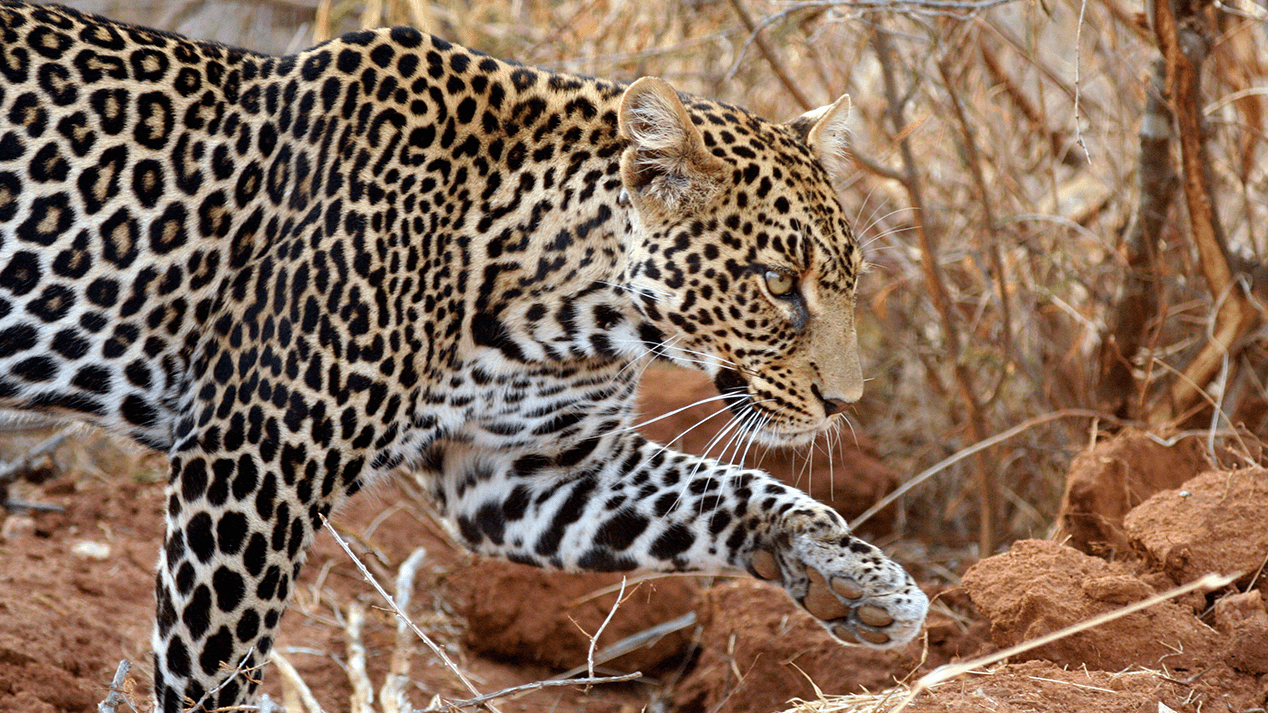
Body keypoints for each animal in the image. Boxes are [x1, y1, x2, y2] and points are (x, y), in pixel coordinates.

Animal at [0, 2, 928, 710]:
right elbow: (211, 664)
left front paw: (856, 575)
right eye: (775, 281)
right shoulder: (253, 460)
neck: (564, 303)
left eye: (846, 281)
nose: (845, 402)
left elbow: (725, 486)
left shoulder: (533, 473)